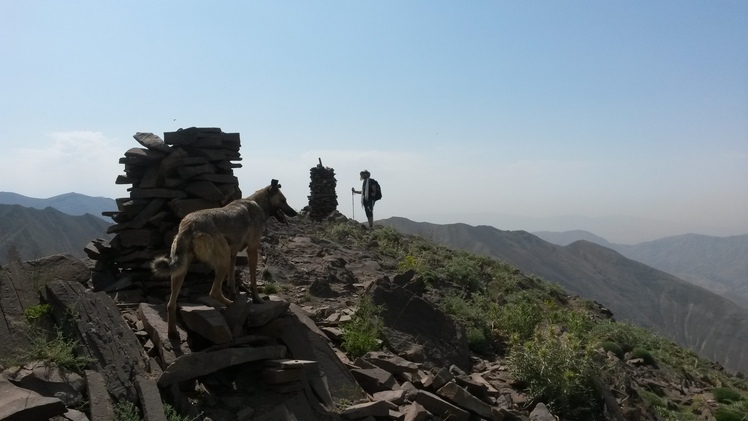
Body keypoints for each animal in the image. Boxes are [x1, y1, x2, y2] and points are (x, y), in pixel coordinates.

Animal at [150, 179, 296, 336]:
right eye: (283, 200)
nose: (294, 213)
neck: (257, 203)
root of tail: (188, 225)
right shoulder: (252, 250)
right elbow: (253, 280)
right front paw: (256, 299)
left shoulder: (233, 254)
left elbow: (231, 279)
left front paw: (234, 294)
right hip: (223, 260)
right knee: (214, 292)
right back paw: (231, 305)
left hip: (182, 270)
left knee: (171, 304)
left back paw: (173, 332)